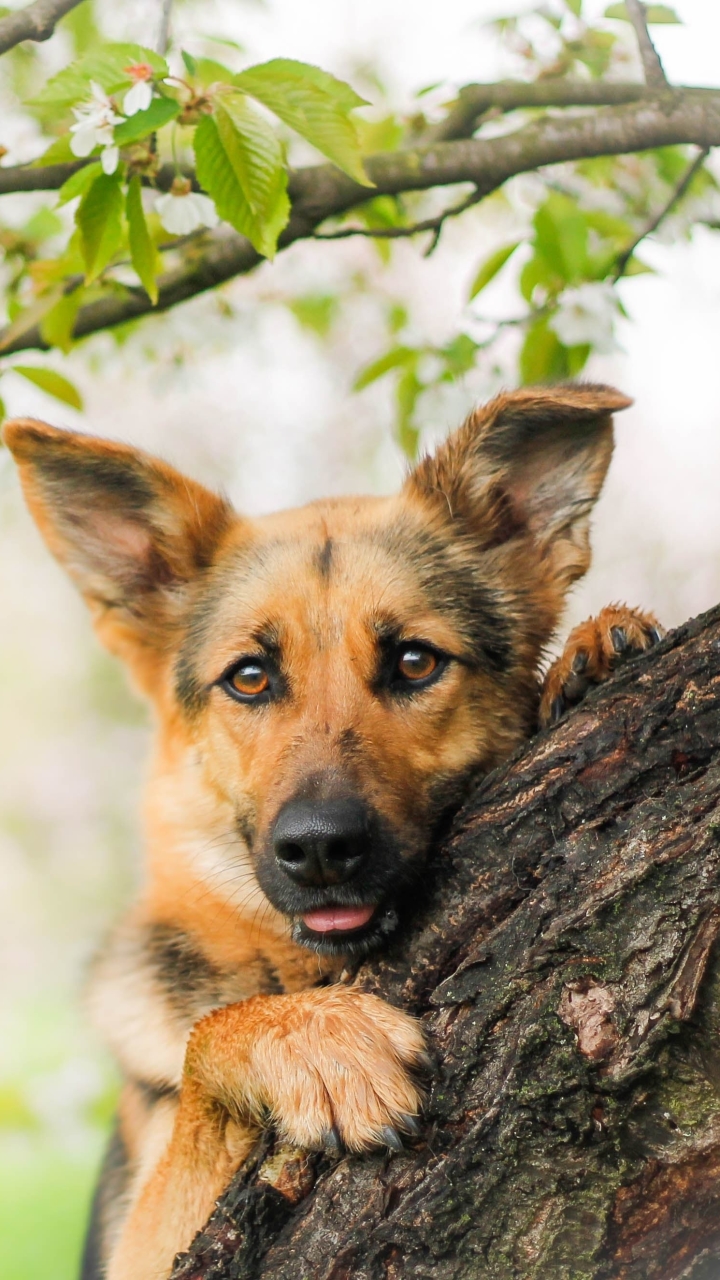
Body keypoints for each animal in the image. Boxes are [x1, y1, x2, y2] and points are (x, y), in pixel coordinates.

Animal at [2, 384, 661, 1280]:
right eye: (250, 678)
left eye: (415, 662)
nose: (317, 849)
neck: (301, 972)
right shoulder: (141, 1244)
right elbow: (204, 1042)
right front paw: (311, 1040)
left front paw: (592, 647)